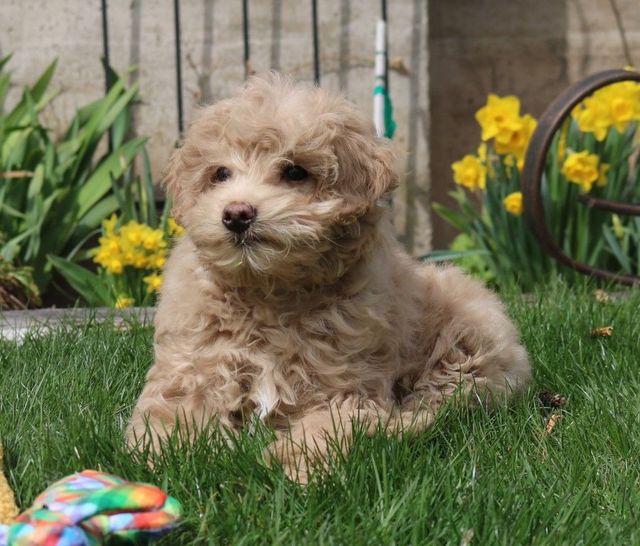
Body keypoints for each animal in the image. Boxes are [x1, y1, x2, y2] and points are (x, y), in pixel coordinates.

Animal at [129, 74, 528, 478]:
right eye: (220, 174)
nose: (237, 214)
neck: (268, 293)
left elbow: (330, 426)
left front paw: (294, 466)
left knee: (439, 404)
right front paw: (164, 458)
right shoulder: (192, 366)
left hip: (471, 333)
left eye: (295, 172)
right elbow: (173, 412)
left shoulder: (345, 385)